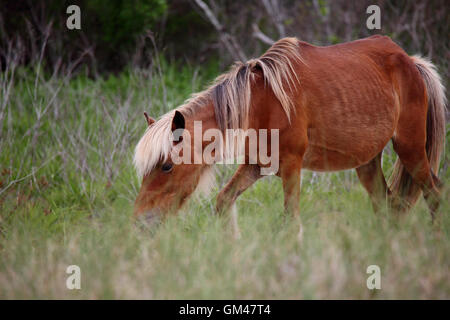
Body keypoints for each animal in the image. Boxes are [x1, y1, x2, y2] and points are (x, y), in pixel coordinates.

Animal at [132, 35, 444, 232]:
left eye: (166, 166)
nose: (141, 221)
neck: (261, 103)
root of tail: (410, 61)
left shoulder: (293, 166)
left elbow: (290, 222)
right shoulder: (256, 165)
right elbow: (224, 202)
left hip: (411, 148)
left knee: (434, 195)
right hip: (367, 163)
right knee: (388, 204)